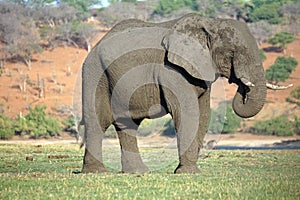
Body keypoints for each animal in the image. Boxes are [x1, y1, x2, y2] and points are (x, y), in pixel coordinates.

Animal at [80, 13, 268, 173]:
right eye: (232, 53)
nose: (241, 86)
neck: (210, 22)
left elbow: (203, 114)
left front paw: (187, 170)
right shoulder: (170, 69)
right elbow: (187, 111)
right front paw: (188, 172)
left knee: (127, 125)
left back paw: (138, 172)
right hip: (95, 73)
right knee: (98, 120)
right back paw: (96, 172)